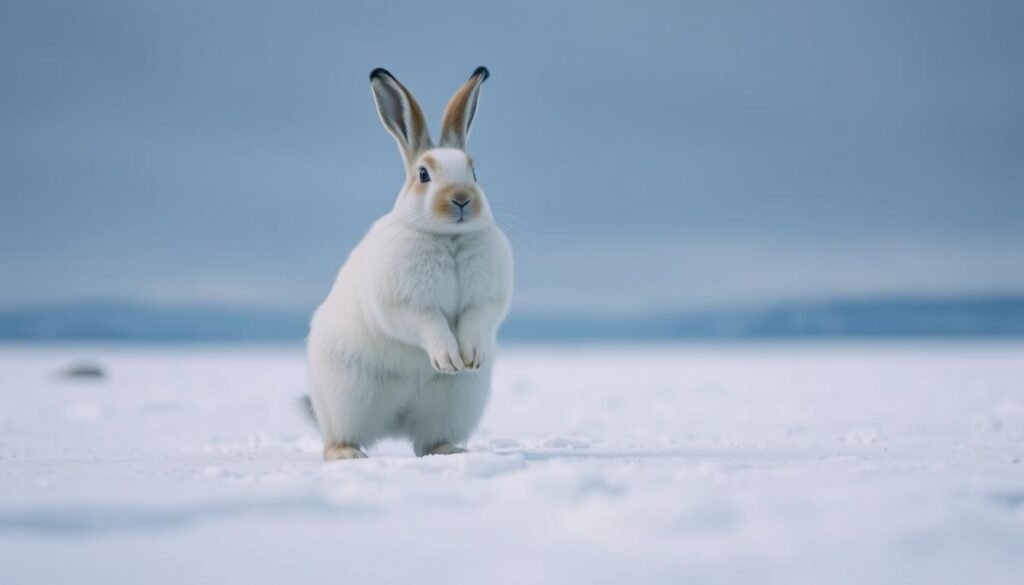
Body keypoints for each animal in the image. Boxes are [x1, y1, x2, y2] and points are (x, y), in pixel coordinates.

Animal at [307, 67, 513, 460]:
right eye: (423, 175)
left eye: (474, 173)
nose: (461, 199)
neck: (448, 239)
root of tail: (395, 421)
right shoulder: (407, 304)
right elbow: (428, 324)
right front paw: (448, 360)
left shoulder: (484, 301)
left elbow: (475, 321)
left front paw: (470, 357)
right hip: (346, 397)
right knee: (338, 436)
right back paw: (348, 454)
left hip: (455, 402)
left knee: (428, 439)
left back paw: (449, 450)